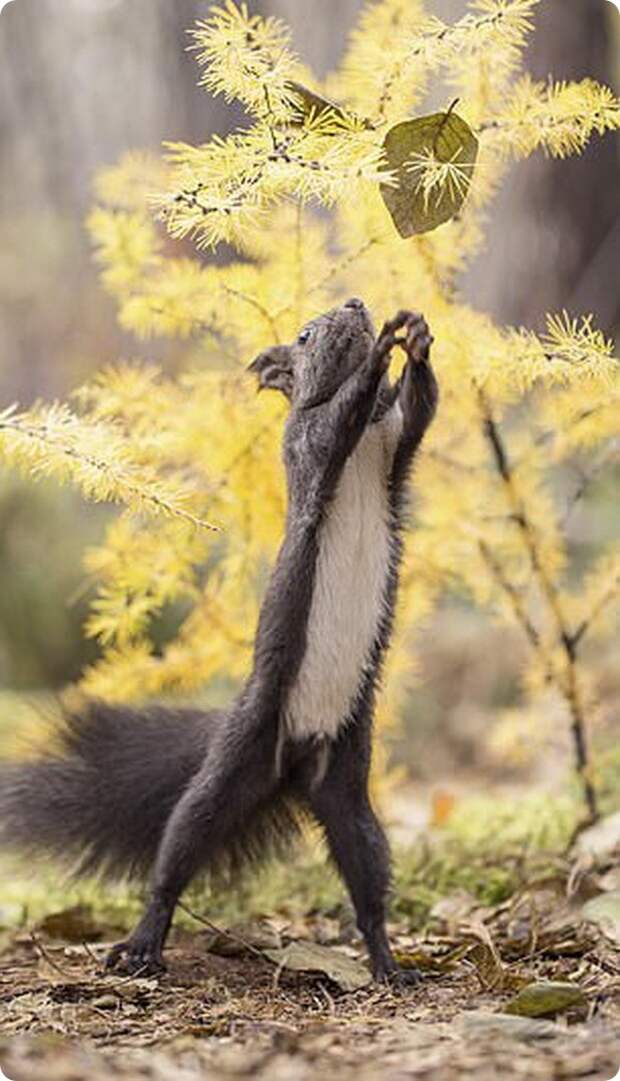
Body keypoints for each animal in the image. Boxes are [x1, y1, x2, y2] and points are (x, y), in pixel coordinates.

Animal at [0, 298, 440, 990]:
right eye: (305, 336)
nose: (354, 305)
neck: (371, 429)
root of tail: (294, 763)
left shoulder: (396, 438)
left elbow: (422, 410)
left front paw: (417, 341)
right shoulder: (311, 443)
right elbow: (333, 419)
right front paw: (380, 353)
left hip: (346, 785)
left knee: (367, 880)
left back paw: (389, 963)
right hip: (240, 754)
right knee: (181, 844)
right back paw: (143, 945)